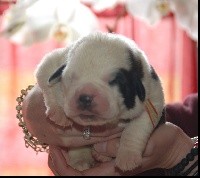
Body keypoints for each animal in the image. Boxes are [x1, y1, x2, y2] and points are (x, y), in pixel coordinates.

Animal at [34, 31, 166, 171]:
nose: (85, 97)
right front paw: (59, 113)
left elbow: (136, 128)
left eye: (113, 81)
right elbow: (46, 82)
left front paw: (128, 157)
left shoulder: (153, 95)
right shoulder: (52, 62)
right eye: (72, 79)